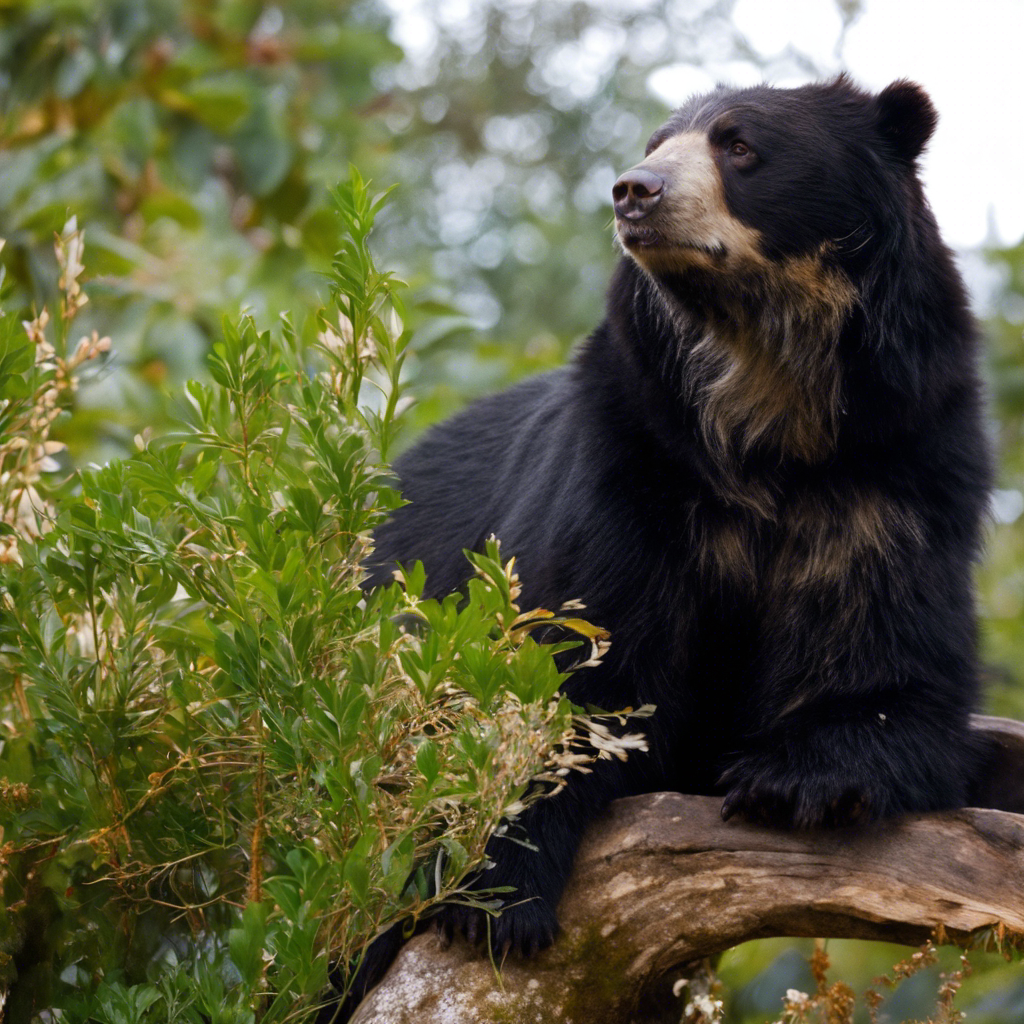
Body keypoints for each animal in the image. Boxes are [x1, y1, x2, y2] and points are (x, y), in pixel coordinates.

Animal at [342, 74, 992, 1013]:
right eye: (655, 144)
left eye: (740, 145)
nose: (633, 191)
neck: (768, 396)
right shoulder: (628, 465)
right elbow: (557, 673)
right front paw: (498, 905)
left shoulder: (899, 477)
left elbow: (889, 672)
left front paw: (794, 781)